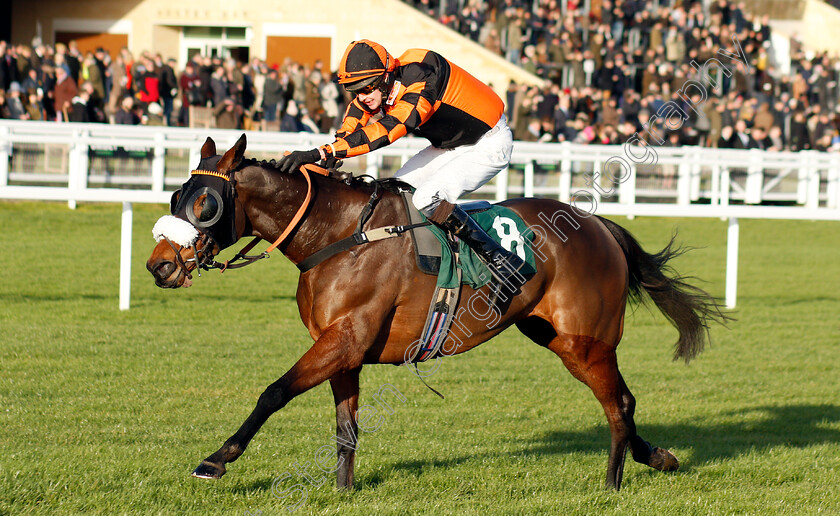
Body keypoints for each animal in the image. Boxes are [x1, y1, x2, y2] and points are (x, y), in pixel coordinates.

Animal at [146, 135, 728, 490]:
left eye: (206, 203)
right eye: (176, 195)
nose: (158, 265)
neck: (337, 236)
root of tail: (597, 223)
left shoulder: (344, 338)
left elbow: (273, 392)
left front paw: (216, 460)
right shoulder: (344, 348)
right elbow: (345, 425)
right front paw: (343, 488)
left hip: (585, 341)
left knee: (620, 405)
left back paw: (611, 482)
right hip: (551, 334)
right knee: (622, 406)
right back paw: (660, 457)